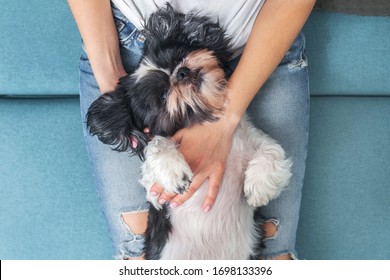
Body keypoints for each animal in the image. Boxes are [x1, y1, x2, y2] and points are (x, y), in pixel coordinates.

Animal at [87, 4, 290, 260]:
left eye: (178, 57)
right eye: (163, 96)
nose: (182, 72)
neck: (205, 120)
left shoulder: (253, 139)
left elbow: (273, 150)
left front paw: (259, 187)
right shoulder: (155, 191)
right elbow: (156, 144)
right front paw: (175, 171)